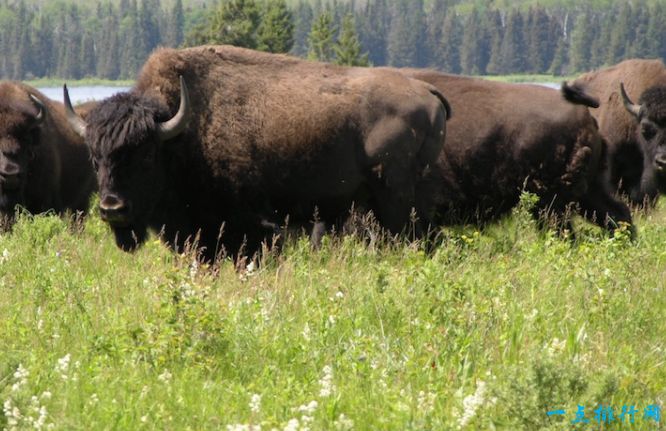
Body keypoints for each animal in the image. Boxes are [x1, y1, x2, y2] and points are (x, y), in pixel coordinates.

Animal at [65, 44, 448, 260]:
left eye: (145, 156)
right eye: (95, 158)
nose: (112, 209)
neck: (181, 132)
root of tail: (426, 91)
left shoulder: (251, 227)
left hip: (395, 202)